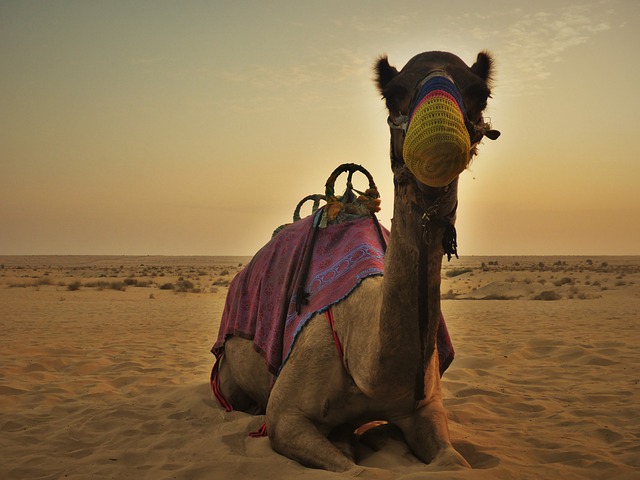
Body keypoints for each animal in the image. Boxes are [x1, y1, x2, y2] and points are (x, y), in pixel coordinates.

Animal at [210, 49, 500, 472]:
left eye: (480, 93)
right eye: (393, 93)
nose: (439, 142)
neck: (365, 363)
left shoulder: (426, 407)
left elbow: (454, 463)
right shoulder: (285, 418)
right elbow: (355, 469)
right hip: (228, 374)